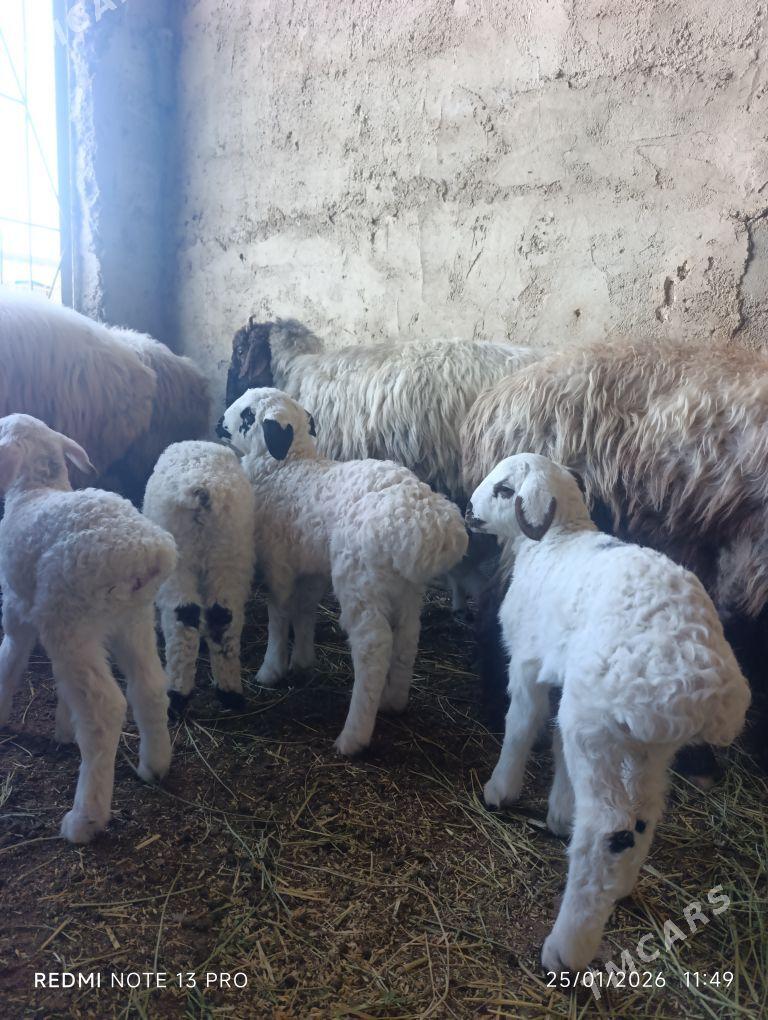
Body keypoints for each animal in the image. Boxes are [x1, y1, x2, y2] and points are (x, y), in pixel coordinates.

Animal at [0, 413, 177, 843]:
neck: (36, 489)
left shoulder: (16, 608)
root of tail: (146, 551)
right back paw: (154, 766)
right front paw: (64, 727)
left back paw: (85, 819)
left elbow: (9, 663)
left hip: (69, 618)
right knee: (149, 687)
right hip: (130, 620)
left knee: (105, 709)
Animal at [143, 441, 256, 713]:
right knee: (223, 616)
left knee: (183, 617)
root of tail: (202, 487)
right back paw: (230, 692)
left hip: (180, 561)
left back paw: (176, 693)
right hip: (229, 557)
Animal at [218, 387, 469, 756]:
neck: (286, 468)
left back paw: (353, 736)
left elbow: (278, 615)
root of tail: (428, 521)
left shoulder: (278, 564)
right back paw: (393, 702)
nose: (219, 423)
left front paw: (271, 670)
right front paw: (302, 660)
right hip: (406, 587)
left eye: (248, 414)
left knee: (373, 646)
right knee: (408, 637)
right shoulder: (311, 568)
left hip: (360, 582)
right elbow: (305, 610)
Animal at [466, 453, 751, 973]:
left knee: (607, 829)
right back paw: (616, 886)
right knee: (643, 817)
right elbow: (557, 744)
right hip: (644, 742)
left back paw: (565, 948)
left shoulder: (529, 663)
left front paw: (500, 790)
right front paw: (560, 811)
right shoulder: (565, 676)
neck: (557, 541)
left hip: (600, 724)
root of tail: (701, 686)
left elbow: (521, 725)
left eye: (504, 490)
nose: (468, 511)